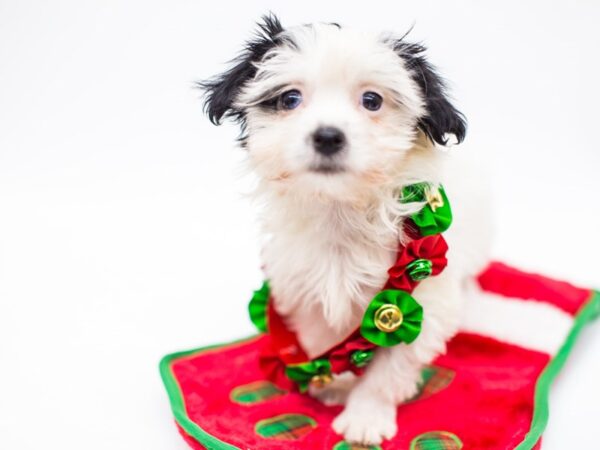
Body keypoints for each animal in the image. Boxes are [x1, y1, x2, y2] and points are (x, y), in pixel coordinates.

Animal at [199, 14, 490, 446]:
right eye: (289, 99)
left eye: (372, 100)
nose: (327, 135)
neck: (339, 210)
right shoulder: (301, 286)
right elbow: (322, 341)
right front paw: (334, 383)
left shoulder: (421, 299)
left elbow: (391, 363)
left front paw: (366, 415)